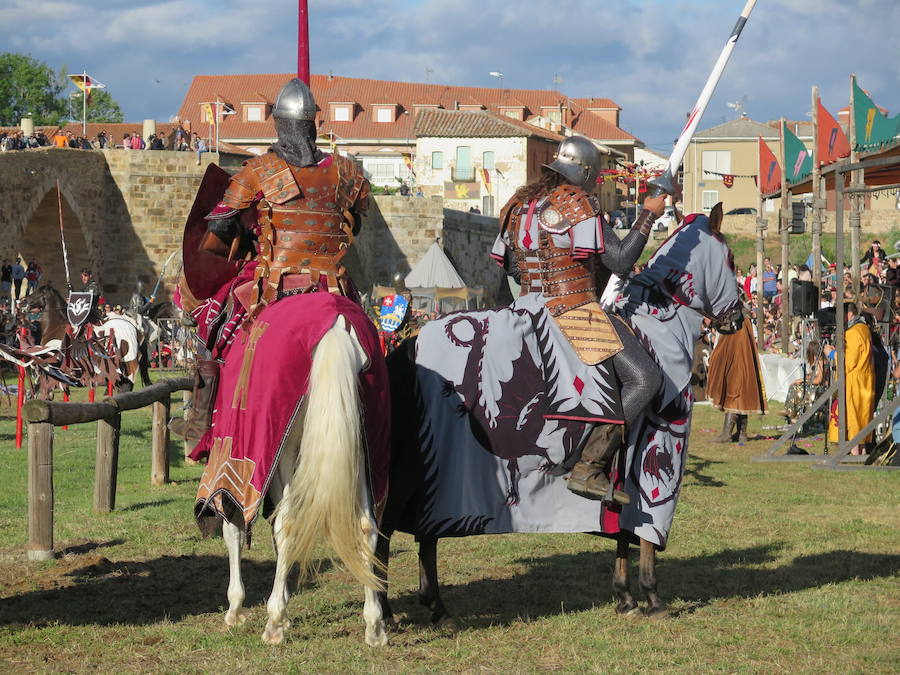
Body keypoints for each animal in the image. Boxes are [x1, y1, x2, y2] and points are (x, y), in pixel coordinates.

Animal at [376, 207, 740, 628]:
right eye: (731, 260)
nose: (738, 317)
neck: (661, 332)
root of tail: (404, 349)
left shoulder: (625, 481)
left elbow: (621, 533)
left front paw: (625, 597)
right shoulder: (654, 456)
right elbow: (647, 536)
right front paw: (652, 597)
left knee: (423, 532)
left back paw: (435, 607)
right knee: (385, 530)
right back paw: (385, 614)